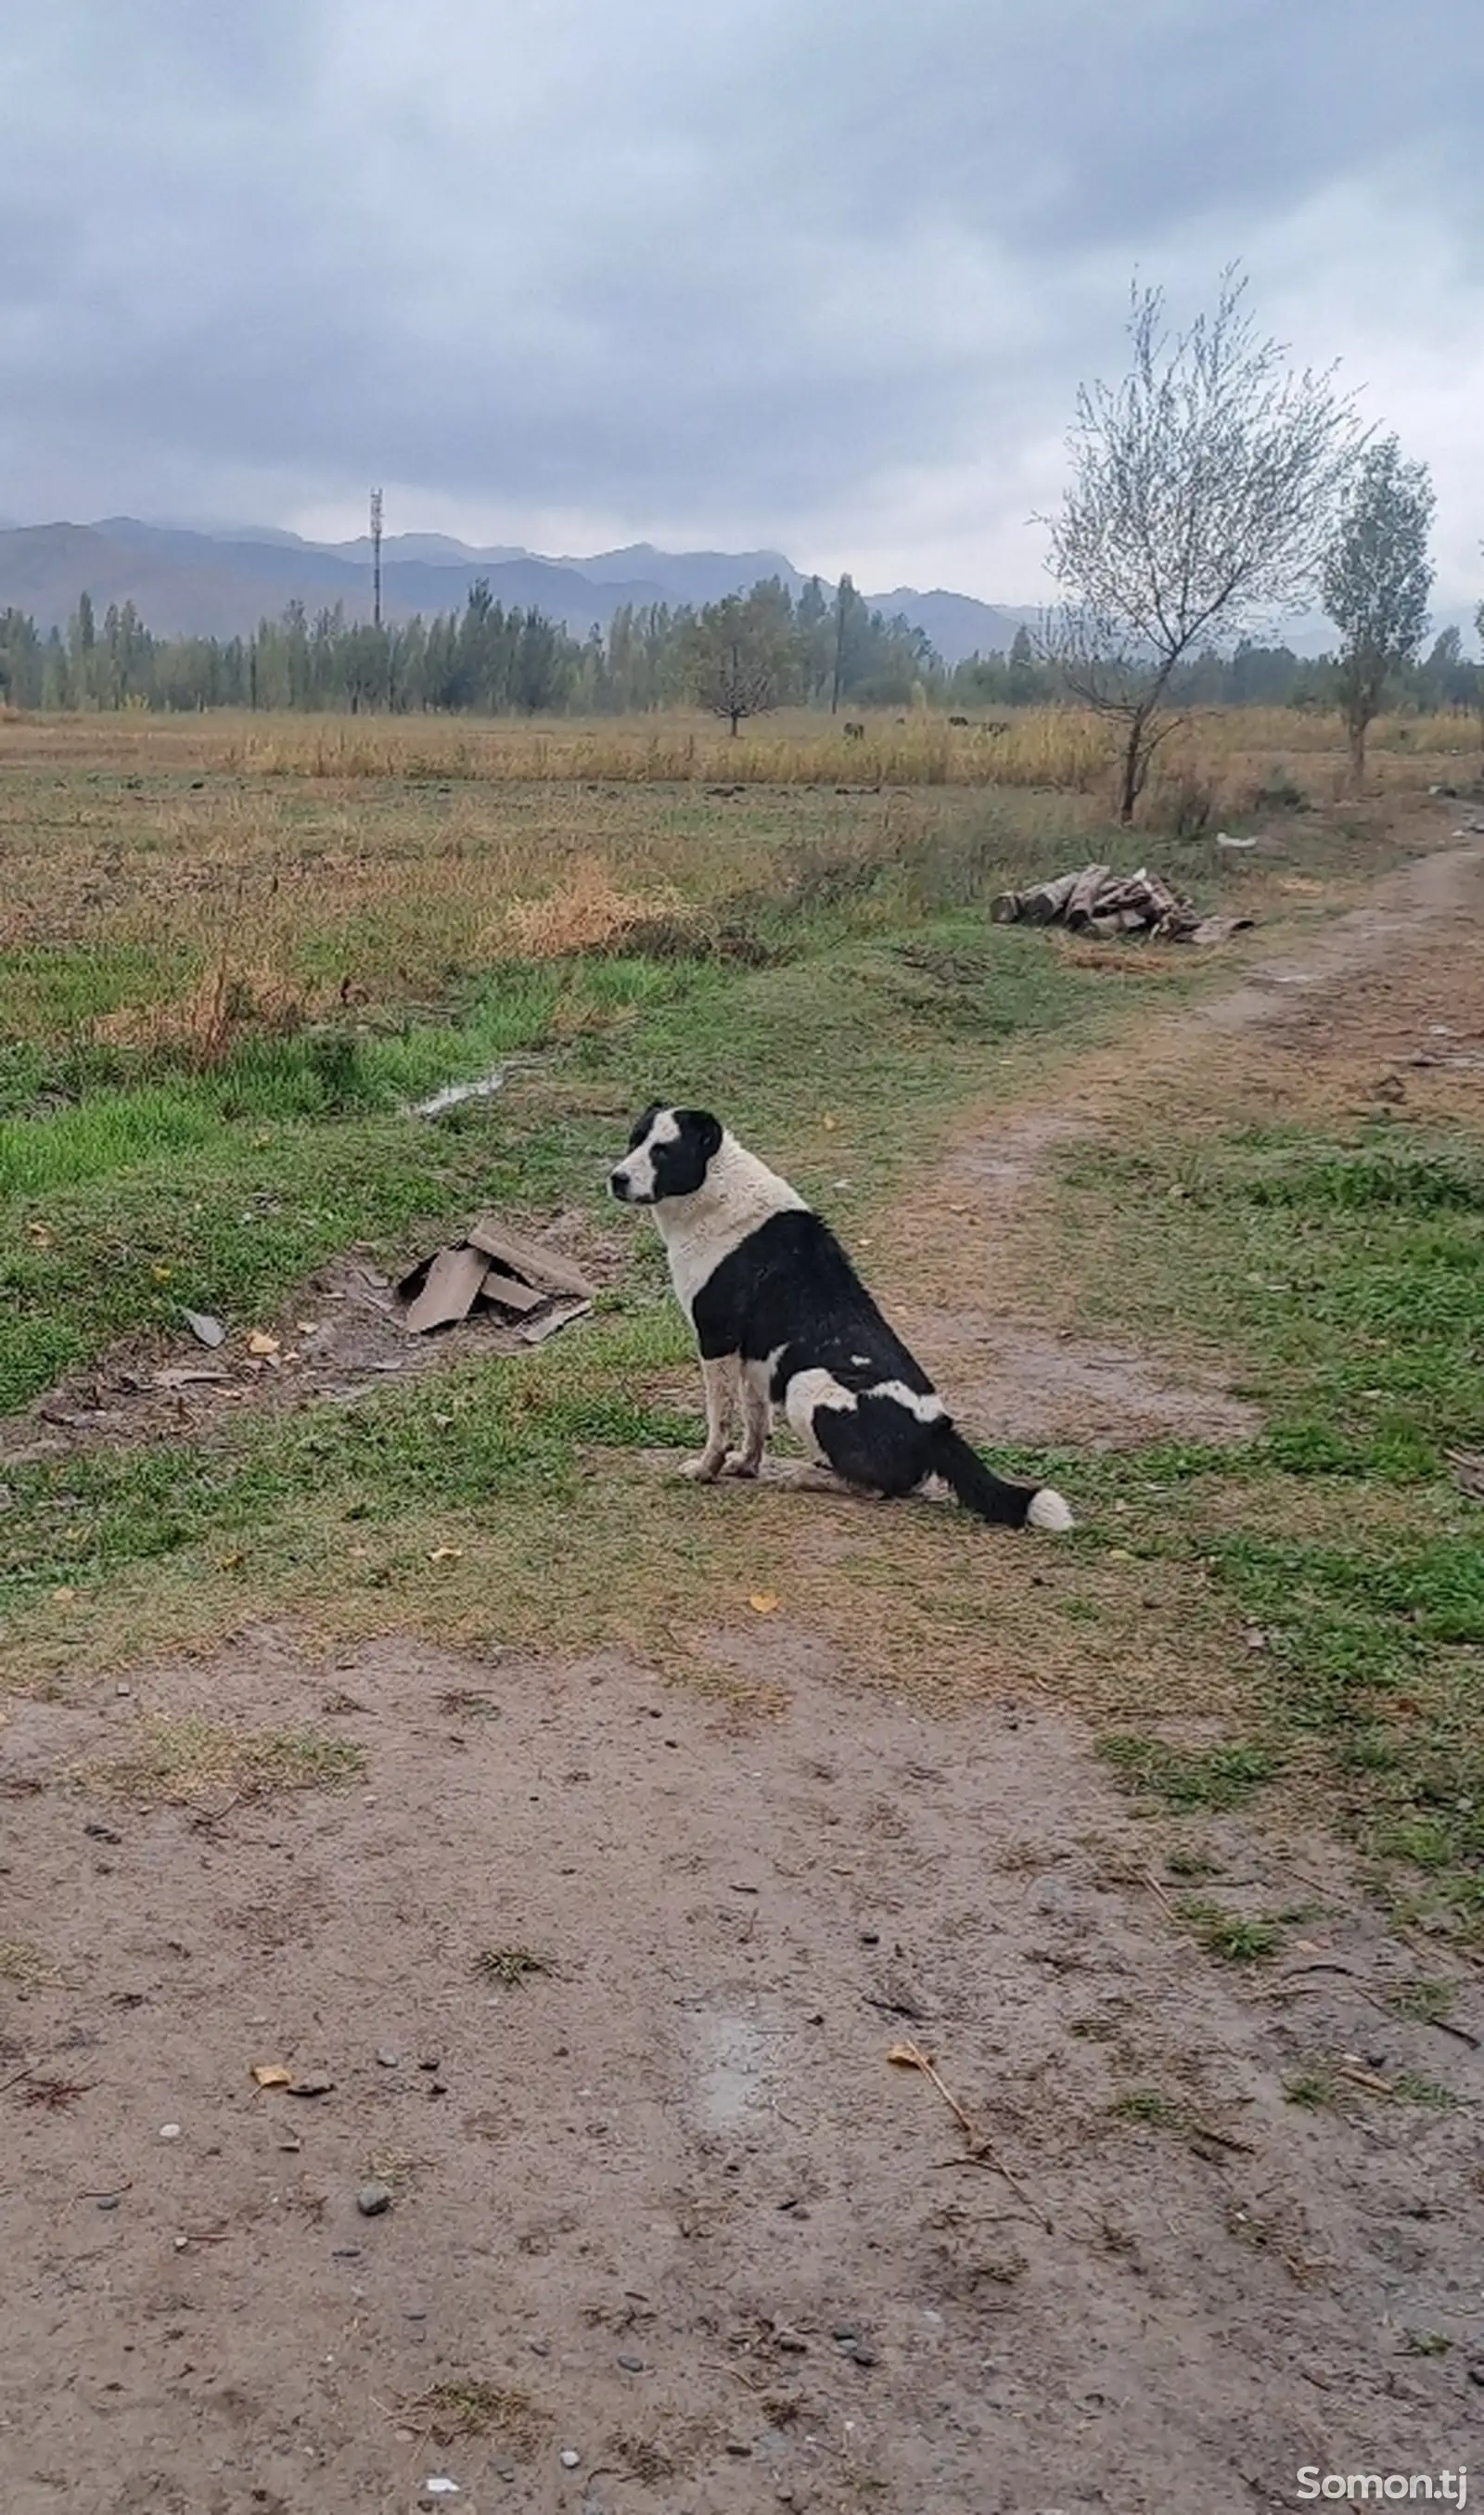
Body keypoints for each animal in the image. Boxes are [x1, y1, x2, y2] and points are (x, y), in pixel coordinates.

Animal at [610, 1101, 1076, 1529]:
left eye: (663, 1152)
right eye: (635, 1141)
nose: (616, 1178)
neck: (714, 1189)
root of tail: (936, 1429)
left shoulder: (716, 1341)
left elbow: (719, 1422)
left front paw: (707, 1470)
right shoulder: (749, 1355)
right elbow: (755, 1418)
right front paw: (745, 1465)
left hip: (805, 1383)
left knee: (874, 1489)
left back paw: (804, 1476)